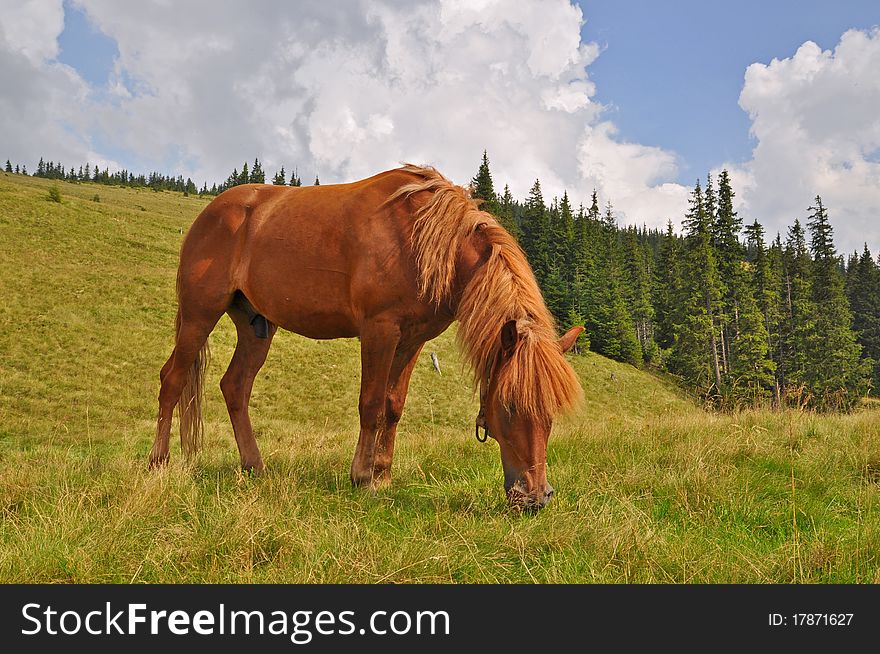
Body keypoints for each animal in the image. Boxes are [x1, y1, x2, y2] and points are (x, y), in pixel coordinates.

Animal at [151, 164, 584, 512]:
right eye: (508, 406)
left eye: (551, 411)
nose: (536, 497)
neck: (424, 238)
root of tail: (210, 212)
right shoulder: (380, 330)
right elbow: (371, 404)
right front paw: (362, 478)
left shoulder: (412, 340)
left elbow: (393, 406)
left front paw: (384, 475)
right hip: (199, 314)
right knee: (172, 378)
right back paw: (159, 462)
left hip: (256, 327)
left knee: (235, 387)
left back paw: (254, 466)